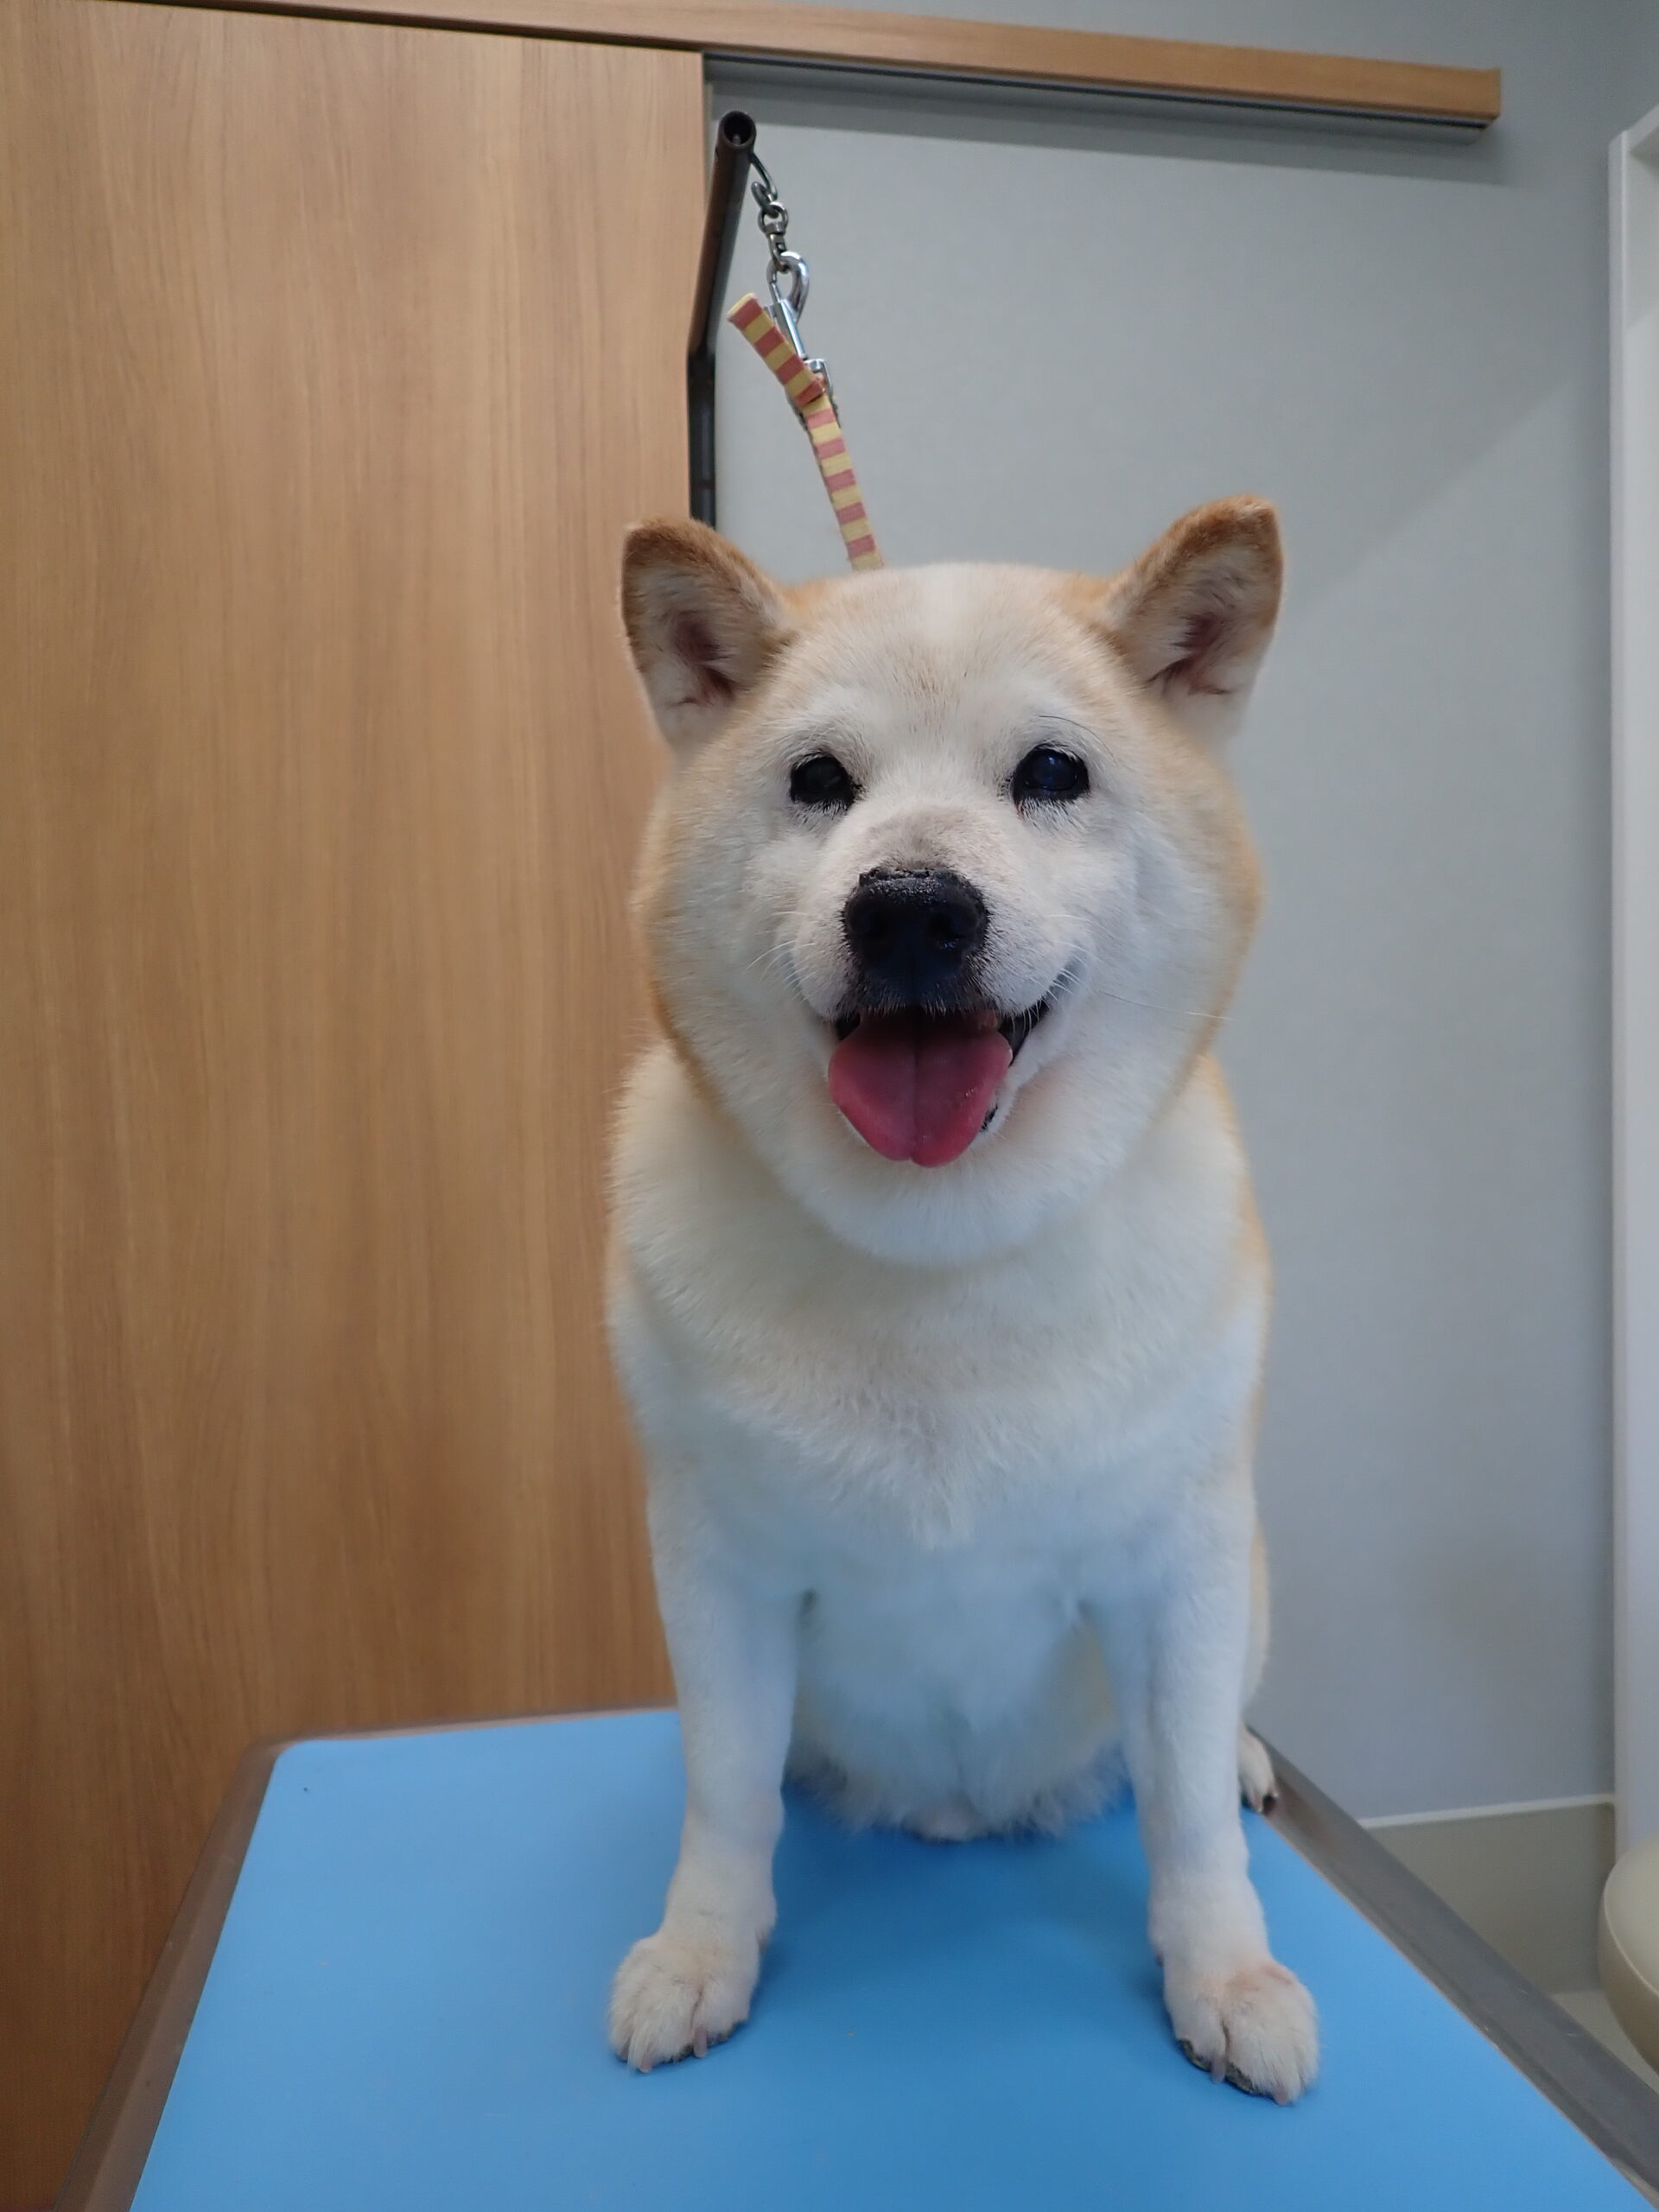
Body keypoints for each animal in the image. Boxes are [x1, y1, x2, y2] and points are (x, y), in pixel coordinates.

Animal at [603, 497, 1317, 2102]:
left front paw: (1226, 1974)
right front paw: (701, 1952)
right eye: (819, 782)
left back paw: (1253, 1761)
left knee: (1219, 1740)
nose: (913, 910)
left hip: (1247, 1578)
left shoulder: (1176, 1564)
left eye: (1051, 774)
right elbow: (724, 1793)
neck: (938, 1257)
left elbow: (1187, 1814)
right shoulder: (718, 1569)